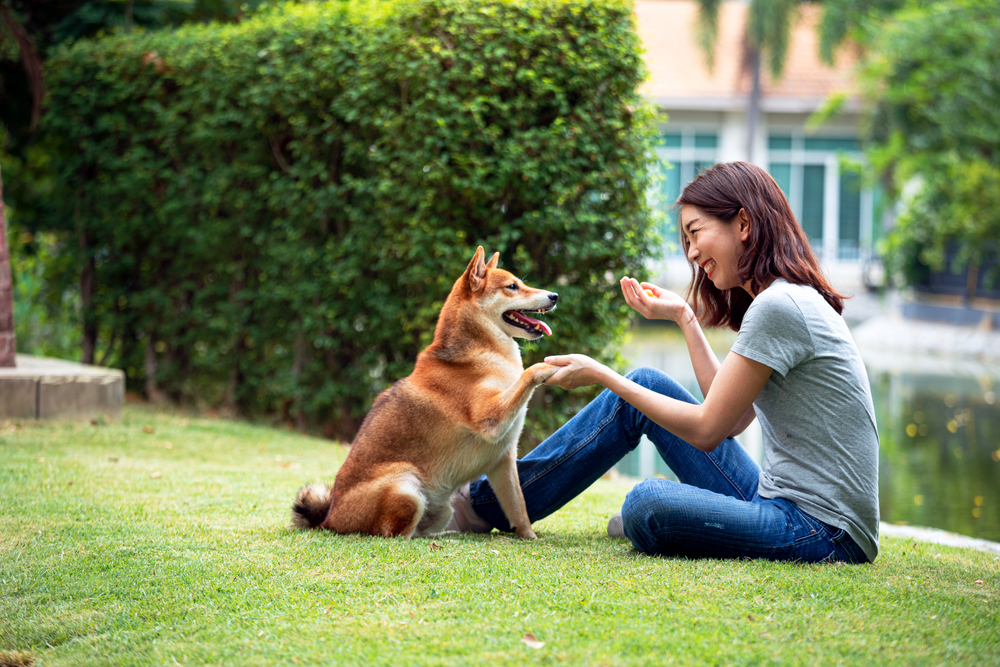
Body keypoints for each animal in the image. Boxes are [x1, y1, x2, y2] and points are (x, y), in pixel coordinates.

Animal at [292, 248, 564, 540]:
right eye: (512, 286)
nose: (554, 296)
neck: (481, 353)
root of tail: (329, 520)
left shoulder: (503, 461)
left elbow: (519, 508)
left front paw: (530, 537)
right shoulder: (490, 420)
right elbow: (528, 373)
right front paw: (551, 367)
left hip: (442, 508)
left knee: (421, 531)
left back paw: (447, 535)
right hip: (407, 486)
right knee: (396, 535)